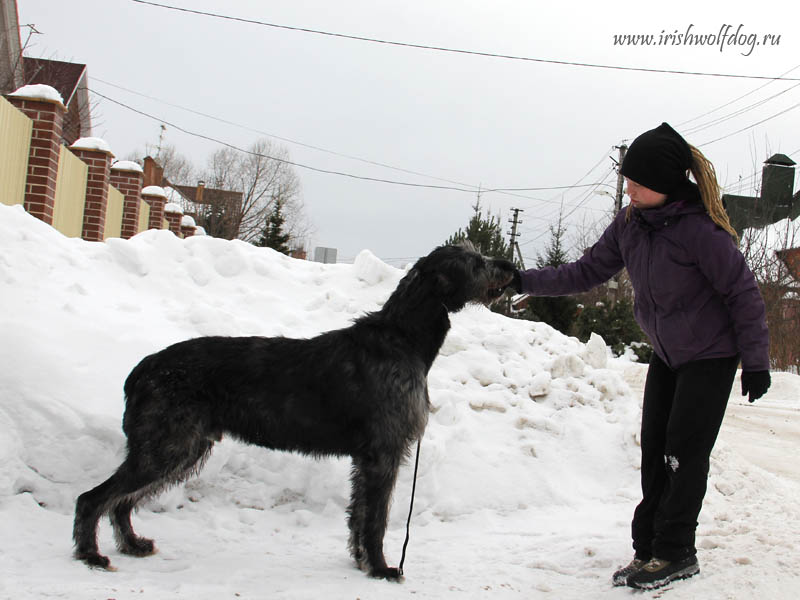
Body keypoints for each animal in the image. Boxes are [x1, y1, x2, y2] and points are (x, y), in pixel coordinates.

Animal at [72, 241, 516, 580]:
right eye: (474, 261)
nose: (510, 266)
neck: (402, 338)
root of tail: (142, 369)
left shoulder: (365, 459)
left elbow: (358, 514)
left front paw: (360, 561)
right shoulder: (383, 453)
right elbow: (376, 519)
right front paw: (381, 568)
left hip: (180, 447)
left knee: (123, 501)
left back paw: (132, 544)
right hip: (167, 446)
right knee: (93, 498)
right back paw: (91, 555)